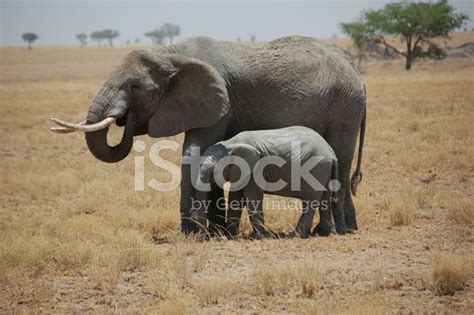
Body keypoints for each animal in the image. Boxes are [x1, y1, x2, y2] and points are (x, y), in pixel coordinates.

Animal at [194, 126, 338, 239]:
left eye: (212, 173)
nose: (205, 236)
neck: (230, 144)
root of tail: (331, 152)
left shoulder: (255, 170)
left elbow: (252, 197)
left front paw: (258, 237)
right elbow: (235, 198)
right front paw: (231, 236)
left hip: (316, 168)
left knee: (310, 200)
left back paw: (297, 235)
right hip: (323, 169)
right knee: (325, 199)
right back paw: (326, 234)